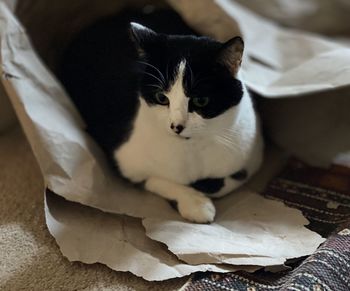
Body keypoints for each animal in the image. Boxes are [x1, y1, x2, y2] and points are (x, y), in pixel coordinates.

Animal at [59, 8, 262, 224]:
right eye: (161, 97)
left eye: (200, 101)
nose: (176, 126)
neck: (191, 149)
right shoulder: (124, 161)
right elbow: (155, 180)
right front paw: (196, 204)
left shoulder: (253, 152)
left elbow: (234, 178)